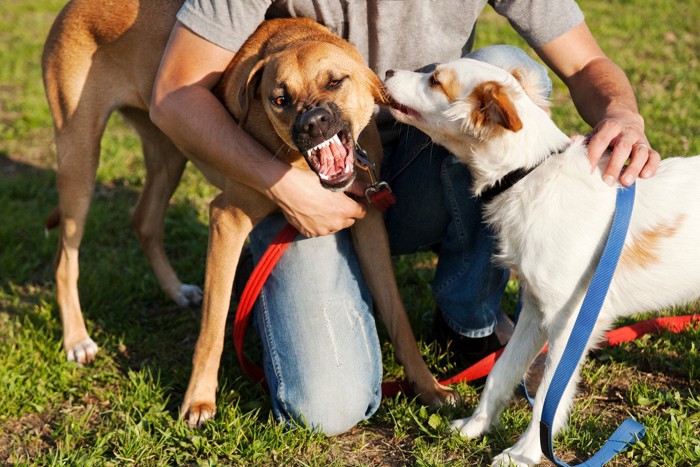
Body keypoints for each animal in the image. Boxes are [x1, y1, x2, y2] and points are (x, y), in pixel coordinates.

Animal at [43, 0, 460, 428]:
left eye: (335, 82)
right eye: (279, 99)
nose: (312, 123)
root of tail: (70, 9)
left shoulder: (370, 226)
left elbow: (398, 318)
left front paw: (429, 387)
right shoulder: (226, 220)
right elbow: (213, 325)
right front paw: (199, 400)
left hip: (167, 151)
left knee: (143, 220)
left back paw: (175, 290)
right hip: (80, 159)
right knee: (65, 260)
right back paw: (77, 339)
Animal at [382, 59, 700, 467]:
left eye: (435, 80)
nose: (387, 72)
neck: (527, 176)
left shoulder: (571, 320)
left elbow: (549, 394)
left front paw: (524, 453)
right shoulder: (534, 309)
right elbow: (501, 371)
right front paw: (475, 425)